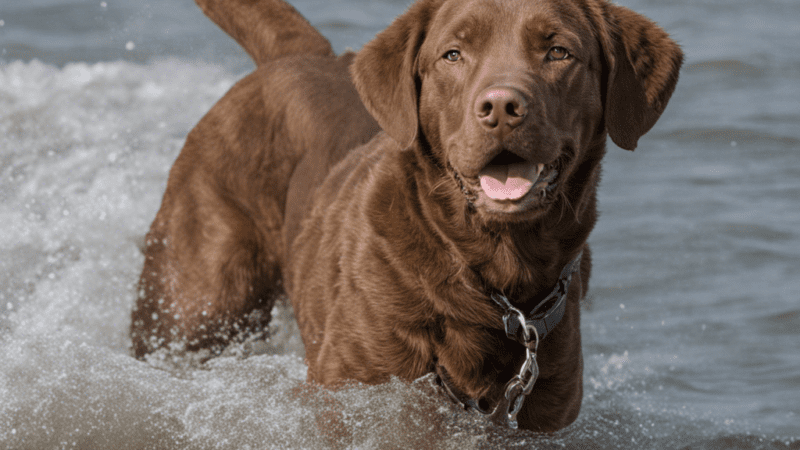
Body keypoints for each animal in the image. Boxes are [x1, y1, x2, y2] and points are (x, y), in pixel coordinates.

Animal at [131, 0, 680, 432]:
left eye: (558, 52)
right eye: (453, 54)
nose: (501, 106)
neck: (491, 280)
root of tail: (297, 55)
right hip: (191, 307)